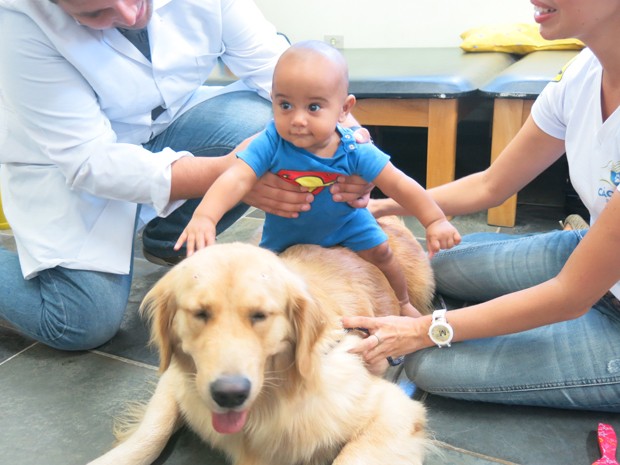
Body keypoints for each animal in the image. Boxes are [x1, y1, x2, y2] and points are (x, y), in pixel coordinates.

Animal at [87, 218, 434, 464]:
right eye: (200, 313)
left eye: (261, 315)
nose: (229, 394)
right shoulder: (177, 380)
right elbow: (149, 436)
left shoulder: (391, 409)